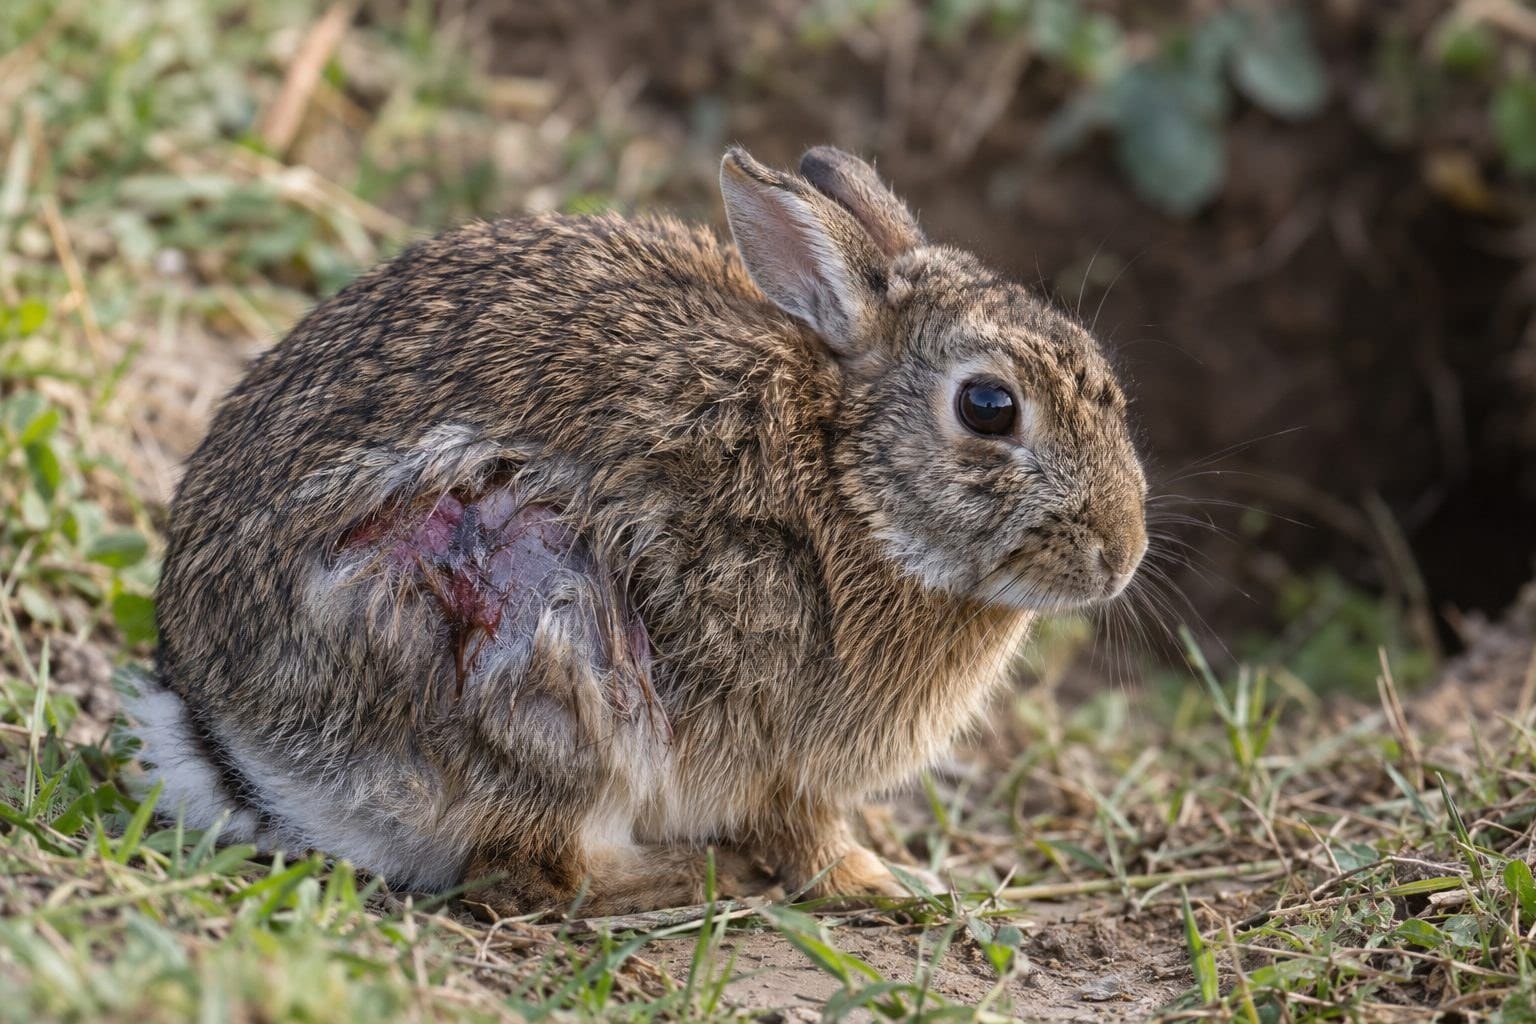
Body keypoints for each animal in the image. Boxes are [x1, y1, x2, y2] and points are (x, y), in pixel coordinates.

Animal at [128, 145, 1148, 915]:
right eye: (988, 407)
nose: (1120, 555)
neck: (850, 472)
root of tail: (228, 731)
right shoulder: (783, 753)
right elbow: (805, 832)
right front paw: (879, 884)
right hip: (541, 630)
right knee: (535, 871)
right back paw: (692, 873)